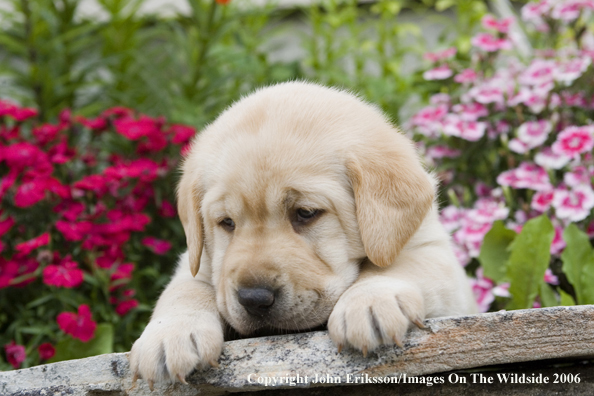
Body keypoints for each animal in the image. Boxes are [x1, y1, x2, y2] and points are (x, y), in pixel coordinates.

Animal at [130, 81, 476, 386]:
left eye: (306, 213)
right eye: (227, 222)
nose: (254, 299)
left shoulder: (435, 254)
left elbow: (397, 265)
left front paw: (369, 303)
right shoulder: (196, 261)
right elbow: (185, 288)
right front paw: (170, 335)